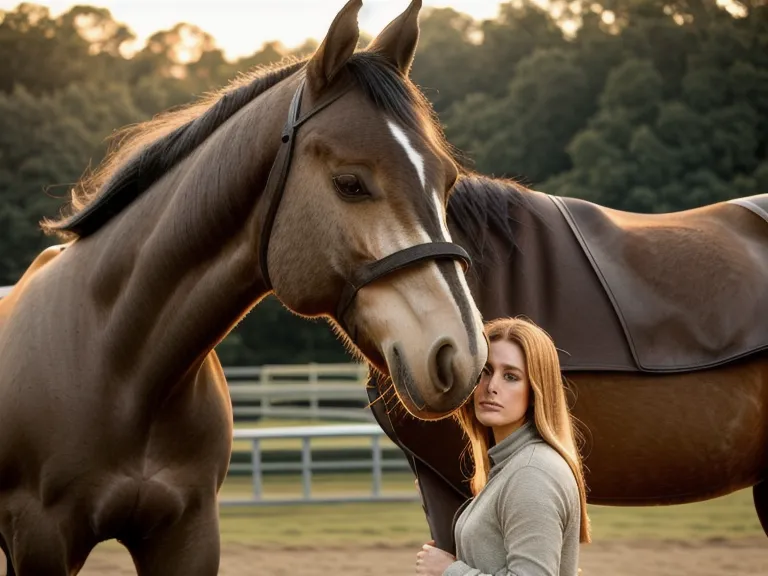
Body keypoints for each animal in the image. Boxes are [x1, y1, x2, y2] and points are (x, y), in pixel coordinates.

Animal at [0, 1, 489, 573]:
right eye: (350, 183)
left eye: (447, 181)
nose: (460, 354)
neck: (116, 362)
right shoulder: (41, 540)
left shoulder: (188, 536)